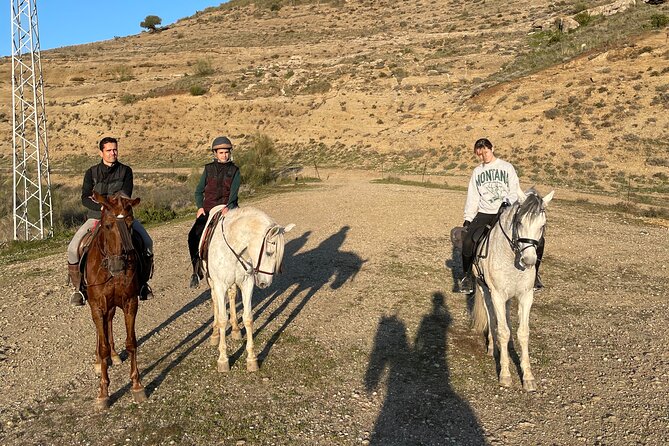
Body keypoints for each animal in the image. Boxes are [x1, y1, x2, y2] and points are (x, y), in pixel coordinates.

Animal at [85, 190, 146, 410]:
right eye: (108, 225)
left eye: (130, 224)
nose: (118, 265)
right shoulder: (97, 306)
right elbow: (102, 346)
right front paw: (103, 393)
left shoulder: (130, 302)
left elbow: (131, 343)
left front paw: (137, 385)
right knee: (100, 329)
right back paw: (99, 361)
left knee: (109, 322)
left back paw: (114, 356)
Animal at [198, 206, 292, 372]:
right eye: (269, 252)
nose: (265, 283)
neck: (233, 247)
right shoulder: (220, 285)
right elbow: (222, 319)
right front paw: (223, 359)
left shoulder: (247, 283)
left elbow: (248, 318)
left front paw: (251, 358)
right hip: (211, 281)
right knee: (215, 301)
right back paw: (215, 334)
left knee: (232, 295)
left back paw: (235, 329)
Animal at [470, 186, 552, 392]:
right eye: (520, 222)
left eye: (542, 225)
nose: (529, 260)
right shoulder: (497, 295)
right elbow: (503, 331)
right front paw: (505, 375)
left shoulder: (526, 296)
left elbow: (523, 333)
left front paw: (528, 378)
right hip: (484, 289)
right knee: (491, 316)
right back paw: (492, 347)